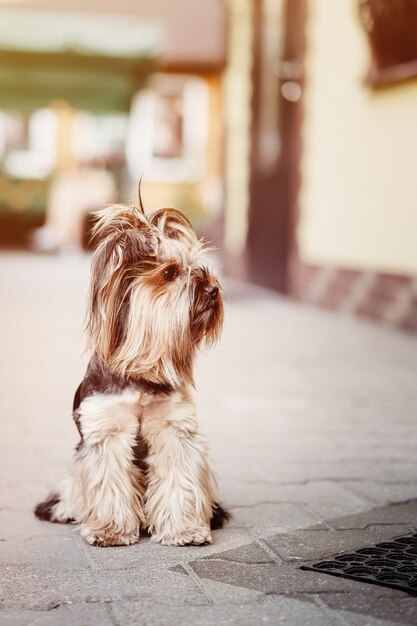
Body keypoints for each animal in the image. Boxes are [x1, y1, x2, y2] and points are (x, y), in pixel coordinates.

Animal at [34, 202, 228, 544]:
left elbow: (179, 479)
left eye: (197, 265)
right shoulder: (106, 429)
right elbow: (108, 481)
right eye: (169, 273)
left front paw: (186, 529)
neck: (142, 369)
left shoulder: (173, 428)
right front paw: (109, 529)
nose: (213, 289)